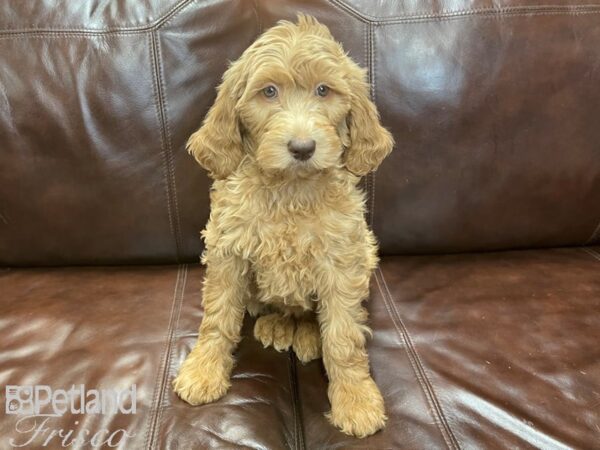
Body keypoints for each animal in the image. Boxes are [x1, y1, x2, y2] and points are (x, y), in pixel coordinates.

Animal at [172, 15, 394, 438]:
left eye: (324, 90)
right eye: (269, 92)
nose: (303, 148)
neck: (290, 190)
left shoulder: (341, 261)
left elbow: (344, 337)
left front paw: (356, 400)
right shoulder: (228, 252)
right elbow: (218, 317)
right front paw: (203, 370)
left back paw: (306, 332)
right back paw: (276, 325)